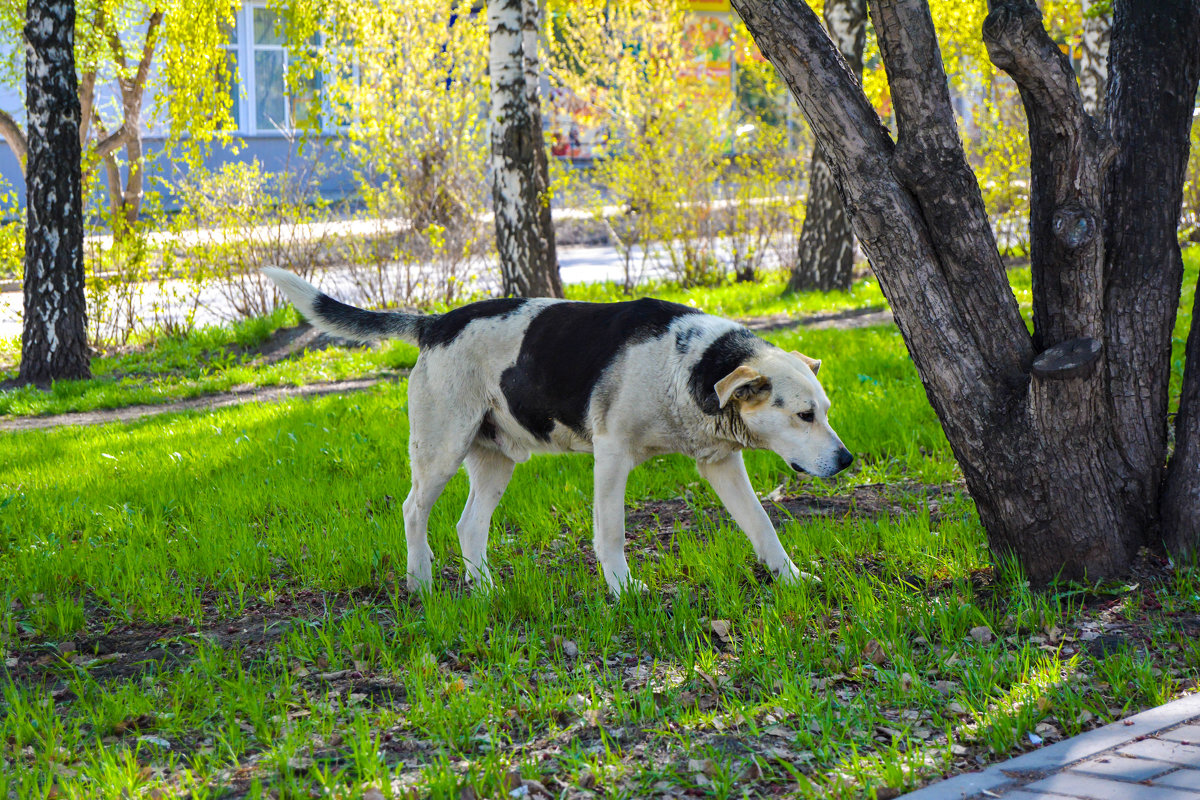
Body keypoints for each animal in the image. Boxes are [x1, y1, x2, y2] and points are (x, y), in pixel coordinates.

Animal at [262, 268, 854, 594]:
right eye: (804, 415)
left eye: (826, 410)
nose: (847, 461)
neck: (690, 363)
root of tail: (436, 323)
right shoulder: (612, 457)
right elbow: (611, 532)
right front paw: (624, 590)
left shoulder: (720, 462)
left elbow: (762, 526)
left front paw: (792, 579)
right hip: (440, 449)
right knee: (413, 511)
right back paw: (421, 582)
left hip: (495, 460)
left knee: (469, 526)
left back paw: (485, 589)